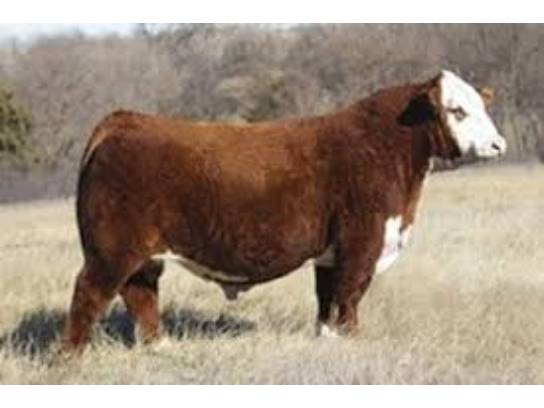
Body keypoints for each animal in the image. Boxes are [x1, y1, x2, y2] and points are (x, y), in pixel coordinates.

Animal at [62, 70, 506, 352]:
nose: (499, 144)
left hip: (141, 254)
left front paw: (327, 338)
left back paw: (161, 346)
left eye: (481, 108)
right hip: (110, 251)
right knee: (89, 294)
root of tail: (122, 120)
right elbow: (350, 295)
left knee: (140, 293)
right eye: (457, 111)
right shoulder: (361, 242)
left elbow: (327, 297)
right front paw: (351, 340)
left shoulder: (330, 253)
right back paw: (70, 358)